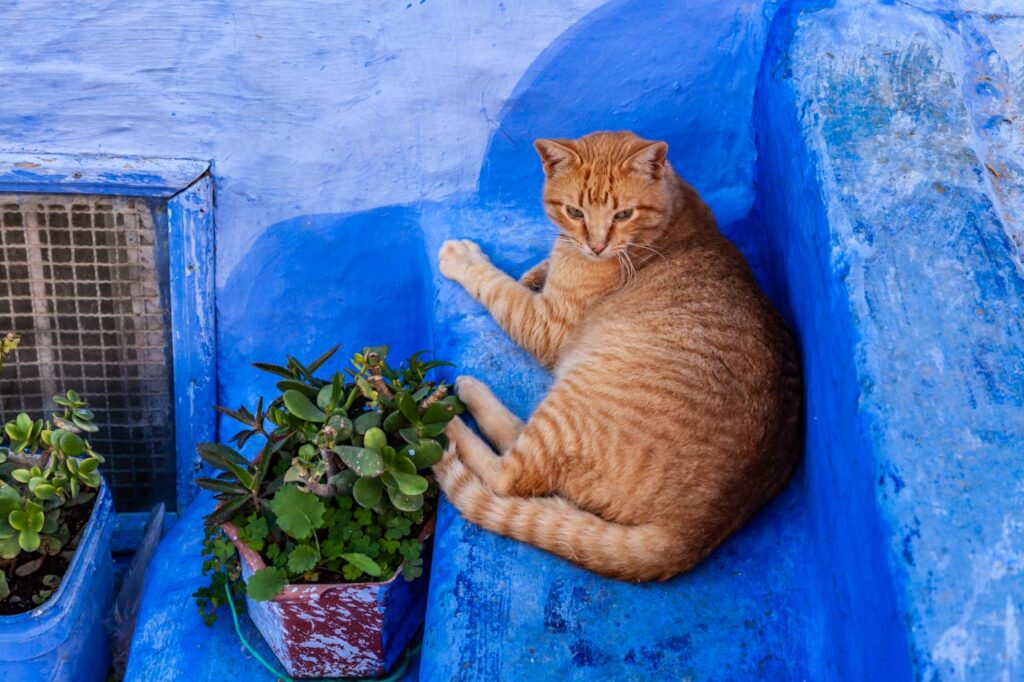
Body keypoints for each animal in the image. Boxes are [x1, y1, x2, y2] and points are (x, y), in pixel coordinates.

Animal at [432, 131, 798, 577]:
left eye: (623, 214)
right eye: (574, 211)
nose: (596, 245)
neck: (669, 218)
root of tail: (692, 533)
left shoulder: (545, 325)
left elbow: (498, 287)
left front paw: (468, 260)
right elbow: (541, 266)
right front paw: (538, 271)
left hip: (574, 400)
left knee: (509, 478)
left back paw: (444, 414)